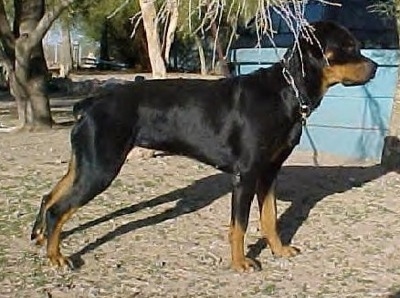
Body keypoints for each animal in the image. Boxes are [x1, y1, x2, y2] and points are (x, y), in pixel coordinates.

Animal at [31, 21, 378, 272]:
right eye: (348, 47)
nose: (375, 67)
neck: (286, 92)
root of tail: (89, 104)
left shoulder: (269, 173)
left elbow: (270, 218)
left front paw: (279, 251)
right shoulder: (246, 175)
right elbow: (239, 225)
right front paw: (240, 263)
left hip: (85, 164)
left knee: (50, 197)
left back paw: (40, 237)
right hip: (100, 168)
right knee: (59, 208)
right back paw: (56, 256)